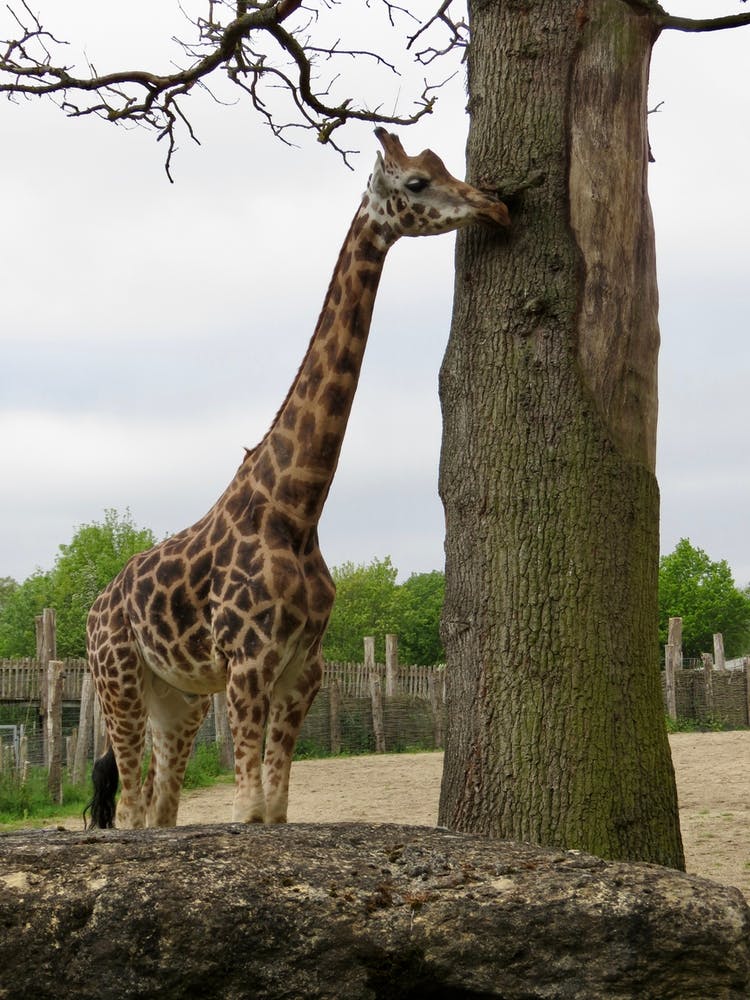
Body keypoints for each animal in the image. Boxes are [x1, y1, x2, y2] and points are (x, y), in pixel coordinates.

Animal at [85, 128, 509, 829]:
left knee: (160, 809)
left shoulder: (300, 670)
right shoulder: (249, 663)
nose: (494, 204)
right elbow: (248, 811)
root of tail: (94, 606)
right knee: (129, 807)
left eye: (445, 163)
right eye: (416, 181)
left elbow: (277, 811)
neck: (297, 508)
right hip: (116, 680)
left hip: (178, 696)